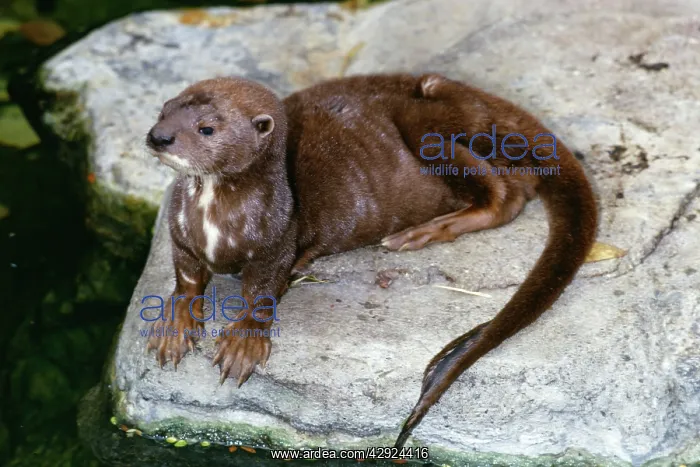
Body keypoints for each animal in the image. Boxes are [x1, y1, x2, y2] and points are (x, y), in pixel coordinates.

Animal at [145, 74, 597, 448]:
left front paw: (242, 343)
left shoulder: (279, 243)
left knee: (506, 196)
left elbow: (262, 291)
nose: (159, 137)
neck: (215, 225)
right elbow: (186, 278)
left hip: (430, 127)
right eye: (163, 110)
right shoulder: (180, 236)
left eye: (206, 128)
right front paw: (173, 327)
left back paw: (423, 232)